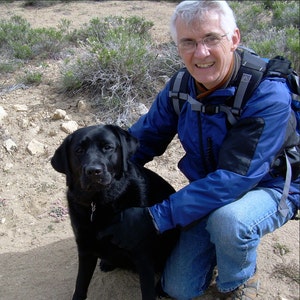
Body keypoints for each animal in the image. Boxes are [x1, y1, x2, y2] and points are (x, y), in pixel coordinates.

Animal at [51, 123, 178, 298]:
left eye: (108, 147)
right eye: (79, 150)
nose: (93, 171)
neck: (98, 204)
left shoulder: (143, 255)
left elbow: (147, 292)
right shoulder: (85, 249)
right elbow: (80, 285)